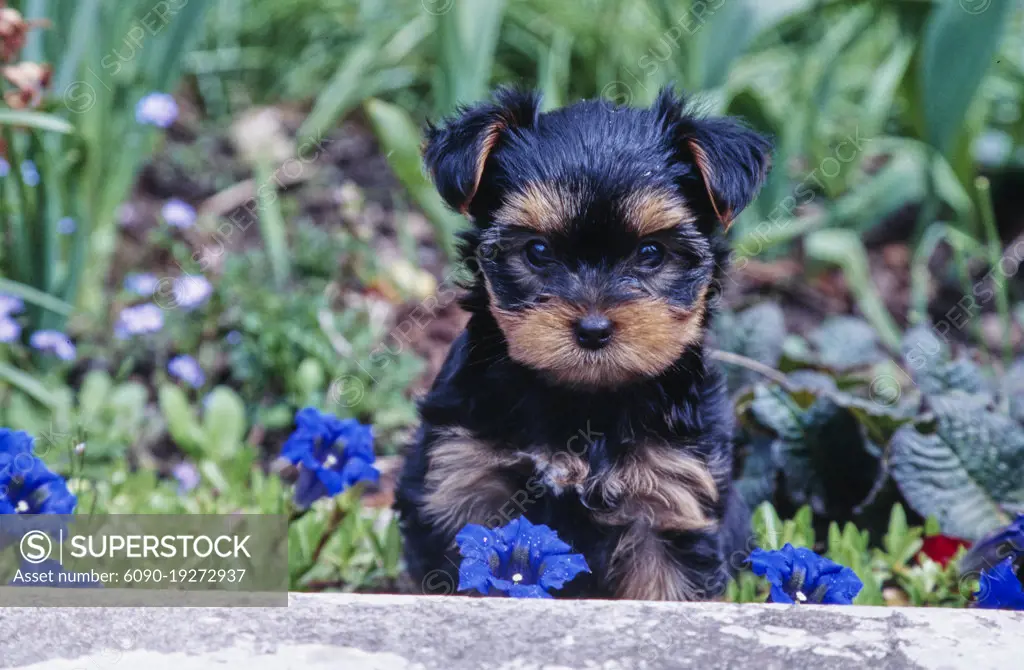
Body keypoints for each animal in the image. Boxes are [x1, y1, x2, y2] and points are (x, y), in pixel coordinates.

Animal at [395, 86, 770, 602]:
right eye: (537, 251)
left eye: (650, 253)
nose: (593, 329)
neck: (582, 403)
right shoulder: (464, 485)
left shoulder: (670, 498)